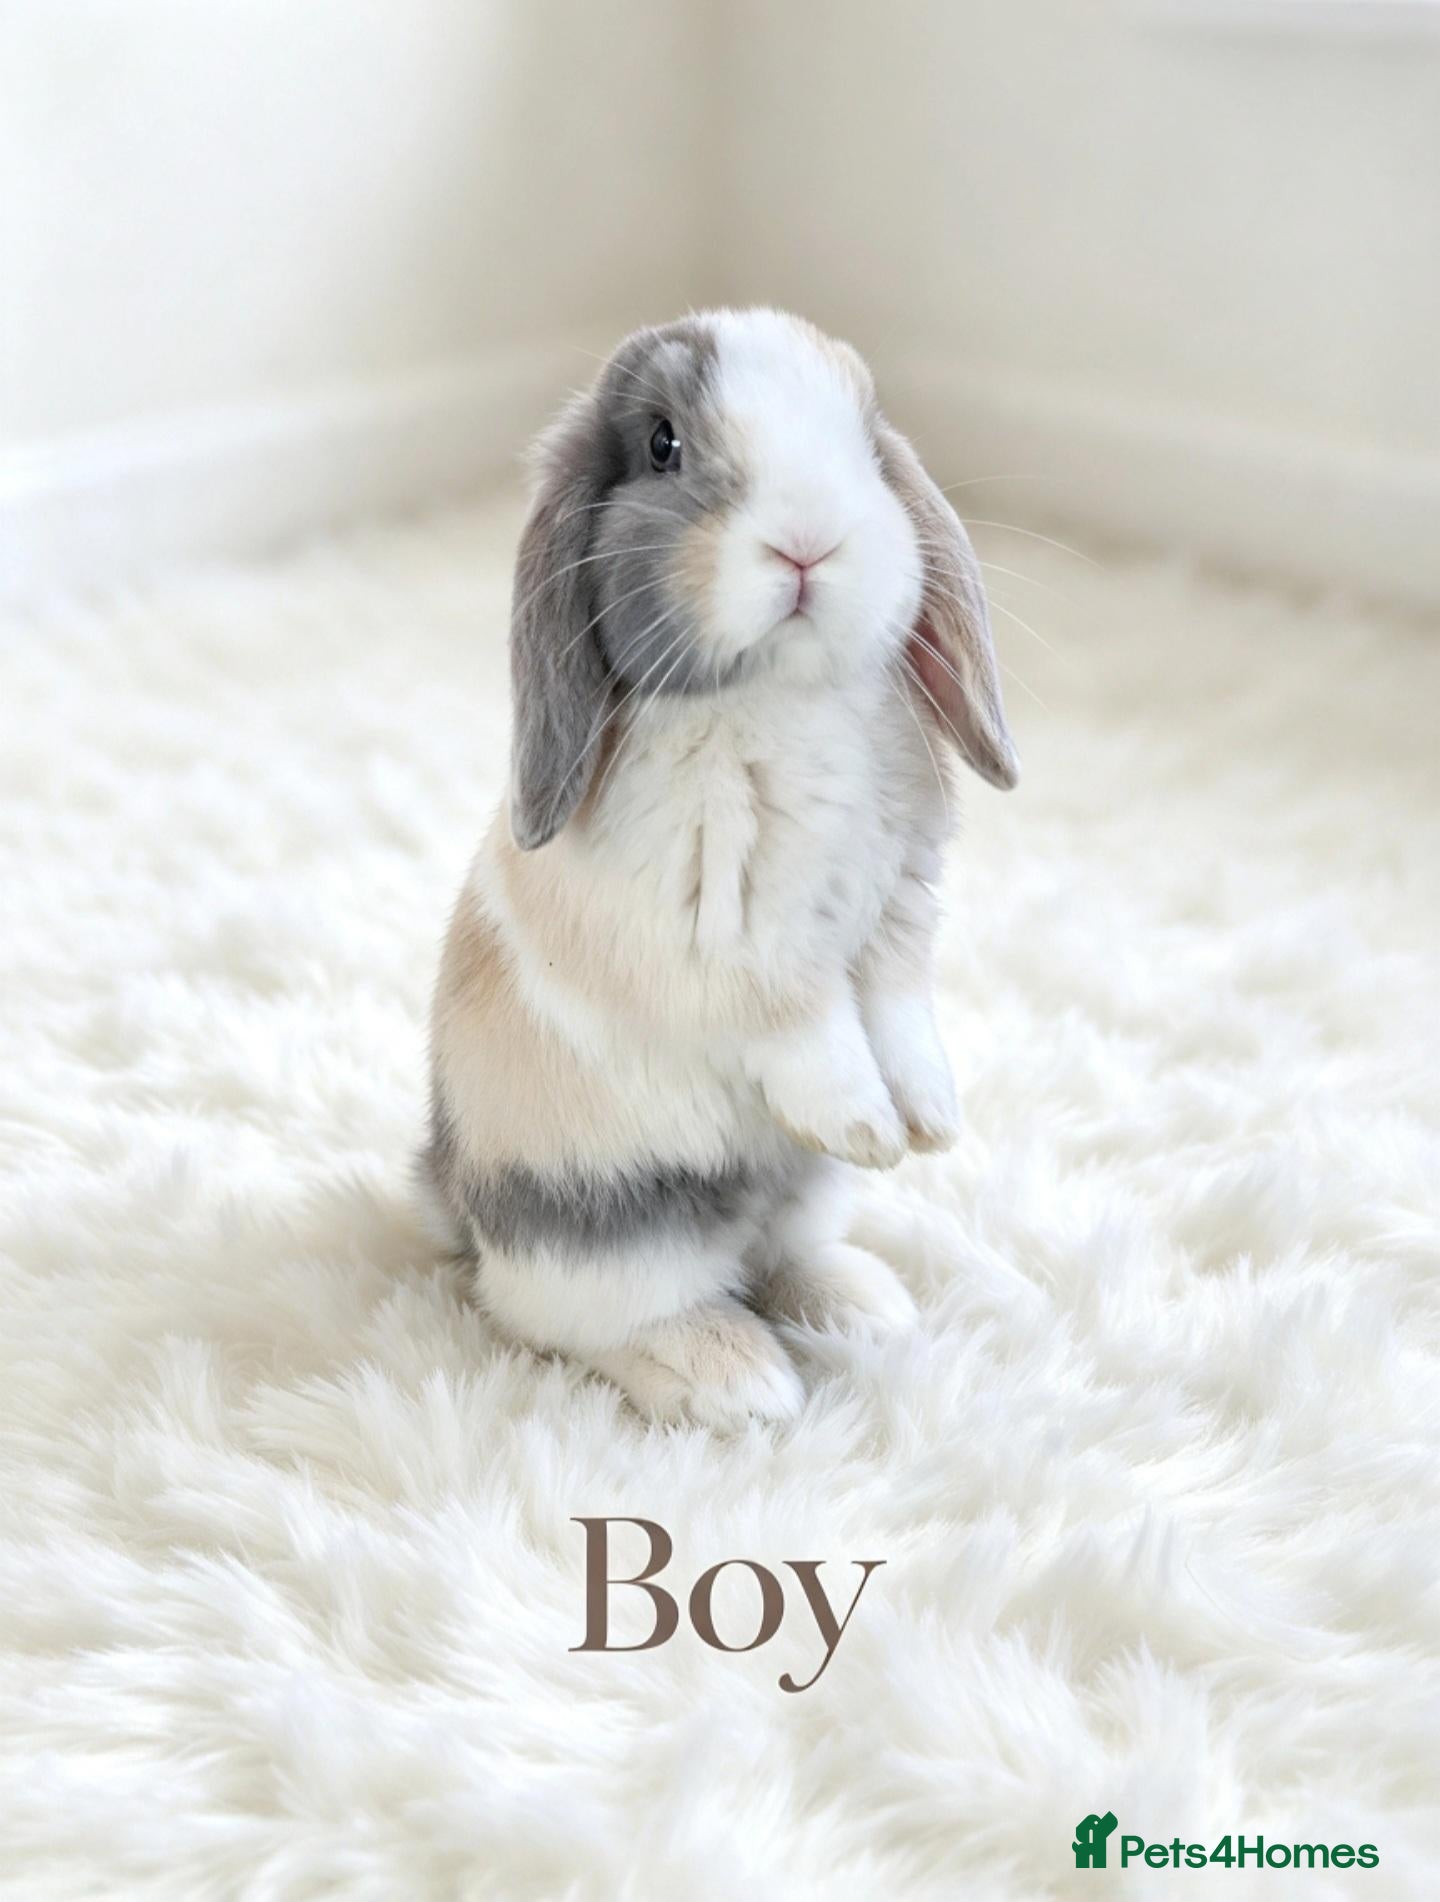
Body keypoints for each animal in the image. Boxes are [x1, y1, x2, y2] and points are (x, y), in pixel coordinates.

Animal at [419, 309, 1017, 1430]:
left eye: (868, 438)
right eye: (664, 445)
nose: (809, 540)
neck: (783, 696)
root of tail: (453, 1196)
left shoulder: (897, 921)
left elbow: (900, 1015)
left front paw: (930, 1121)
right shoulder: (735, 950)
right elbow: (810, 1031)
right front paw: (869, 1125)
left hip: (800, 1191)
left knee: (776, 1257)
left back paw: (864, 1306)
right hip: (610, 1219)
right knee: (577, 1314)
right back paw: (737, 1379)